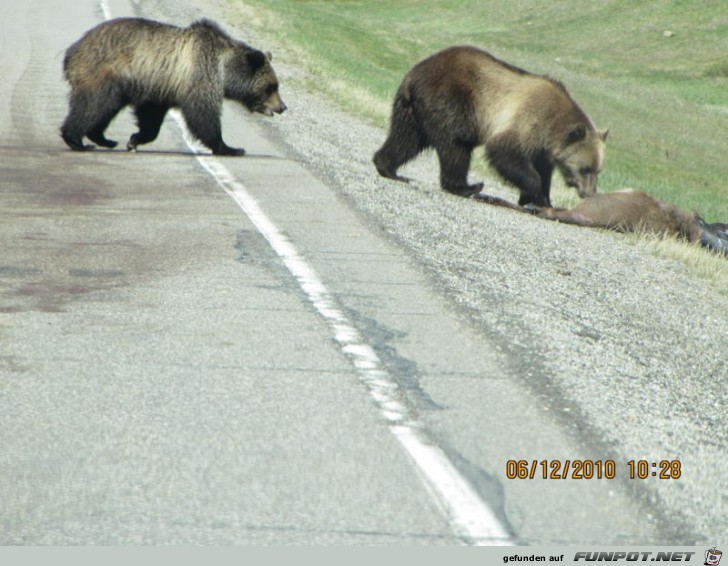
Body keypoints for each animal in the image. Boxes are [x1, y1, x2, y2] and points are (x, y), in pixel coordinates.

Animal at [61, 17, 286, 155]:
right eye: (271, 86)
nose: (282, 106)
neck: (224, 71)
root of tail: (72, 50)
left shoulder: (159, 89)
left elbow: (151, 119)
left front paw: (134, 140)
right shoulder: (199, 75)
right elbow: (203, 116)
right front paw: (230, 148)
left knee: (103, 109)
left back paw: (104, 139)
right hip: (104, 73)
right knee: (93, 105)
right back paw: (77, 140)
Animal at [372, 46, 604, 206]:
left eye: (598, 170)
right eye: (585, 168)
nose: (589, 193)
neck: (553, 127)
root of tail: (413, 76)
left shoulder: (543, 147)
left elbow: (543, 169)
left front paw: (544, 200)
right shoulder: (528, 120)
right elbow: (504, 151)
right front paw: (532, 193)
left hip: (411, 110)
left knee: (406, 138)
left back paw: (387, 167)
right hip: (452, 100)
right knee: (456, 145)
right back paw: (468, 187)